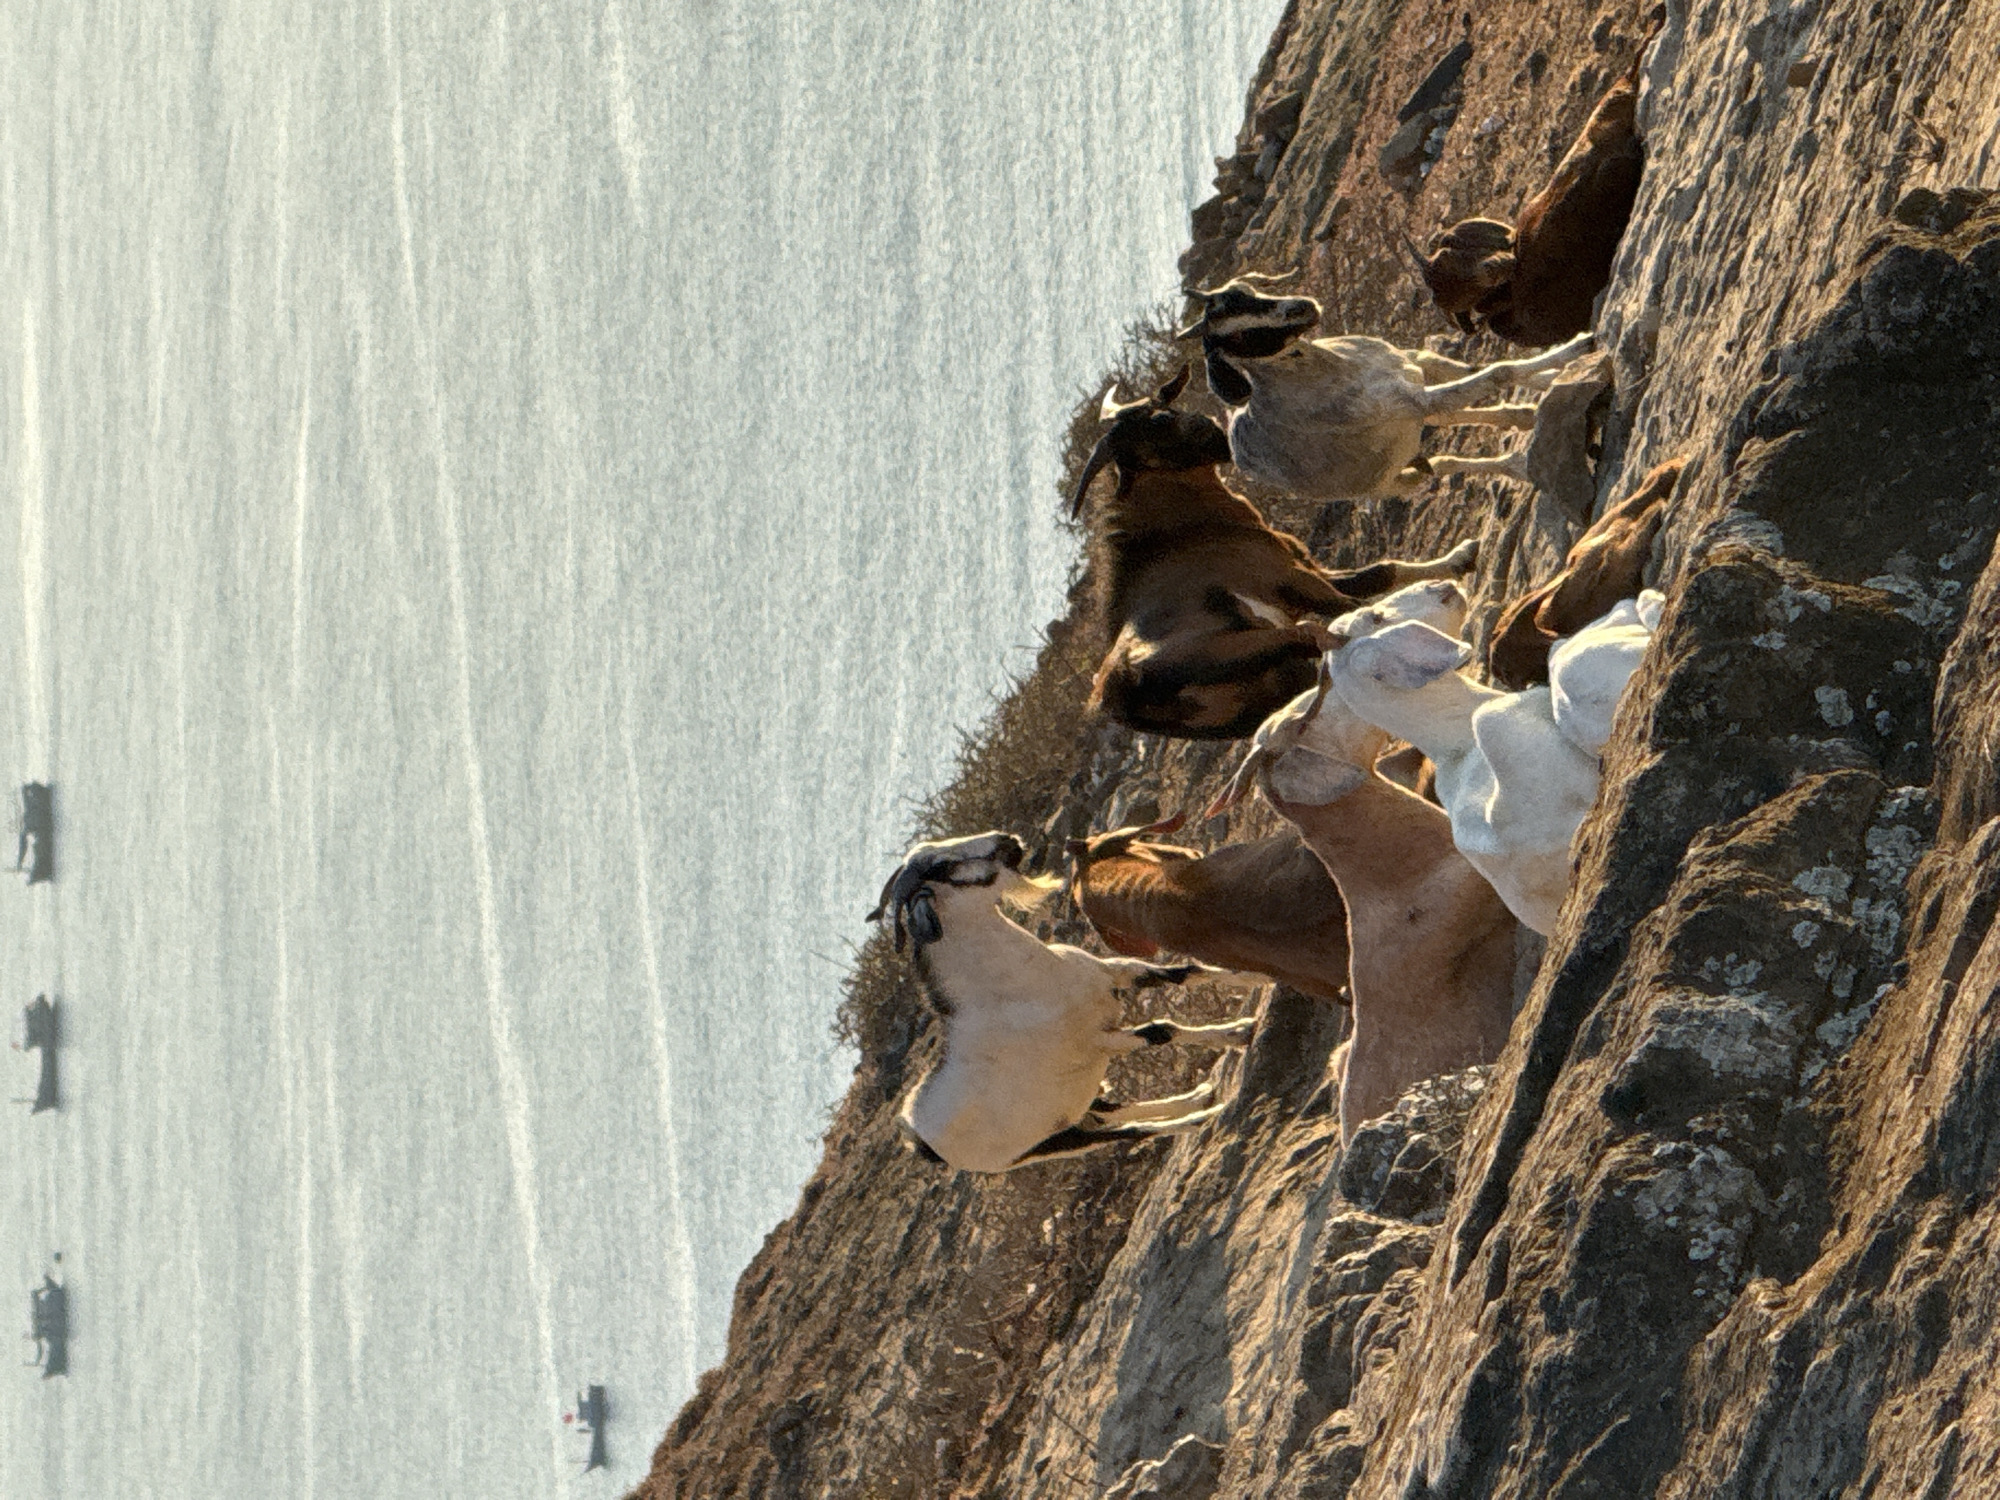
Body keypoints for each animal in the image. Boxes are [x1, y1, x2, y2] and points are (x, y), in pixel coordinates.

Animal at [869, 831, 1256, 1173]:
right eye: (943, 865)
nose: (1007, 840)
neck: (1021, 984)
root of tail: (917, 1135)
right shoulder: (1102, 1040)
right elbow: (1163, 1030)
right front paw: (1240, 1033)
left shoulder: (1113, 974)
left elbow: (1185, 972)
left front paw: (1251, 980)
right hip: (1042, 1146)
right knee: (1121, 1132)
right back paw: (1201, 1116)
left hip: (1068, 1103)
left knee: (1107, 1109)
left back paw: (1199, 1097)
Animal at [1072, 364, 1479, 739]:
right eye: (1153, 428)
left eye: (1161, 408)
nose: (1213, 429)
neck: (1182, 532)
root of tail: (1126, 687)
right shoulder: (1292, 577)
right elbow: (1354, 599)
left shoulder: (1309, 567)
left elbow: (1378, 572)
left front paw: (1461, 557)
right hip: (1257, 644)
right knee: (1317, 634)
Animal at [1177, 277, 1593, 501]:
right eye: (1240, 337)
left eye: (1246, 290)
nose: (1301, 309)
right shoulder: (1414, 402)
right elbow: (1498, 372)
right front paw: (1580, 347)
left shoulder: (1413, 368)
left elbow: (1475, 371)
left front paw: (1549, 375)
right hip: (1387, 481)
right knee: (1440, 463)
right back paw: (1519, 459)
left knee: (1444, 450)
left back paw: (1522, 427)